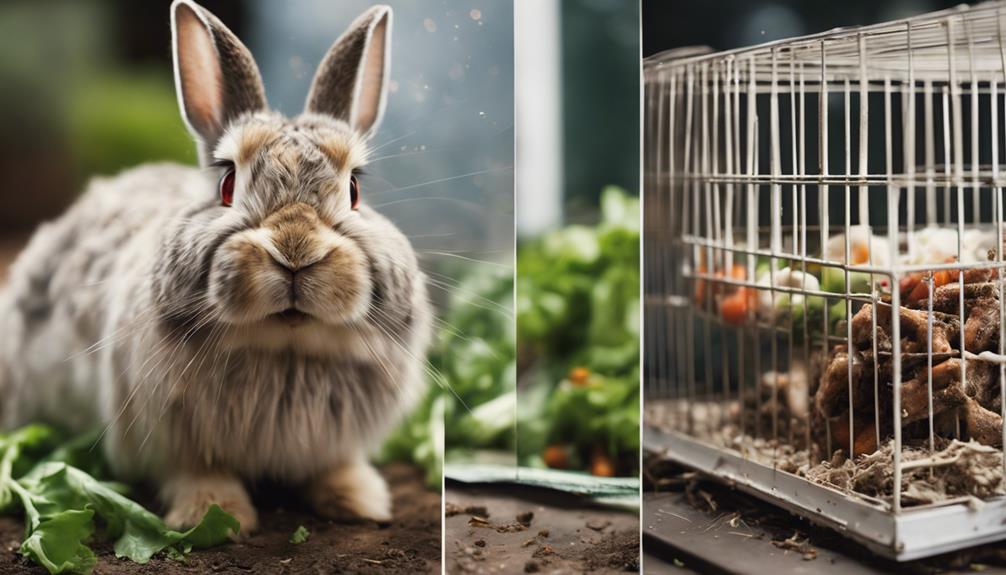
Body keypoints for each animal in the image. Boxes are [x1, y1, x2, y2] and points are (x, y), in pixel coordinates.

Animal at [0, 0, 432, 534]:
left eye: (355, 189)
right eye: (227, 184)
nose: (295, 250)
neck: (283, 351)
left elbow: (335, 465)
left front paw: (359, 501)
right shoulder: (171, 439)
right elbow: (199, 474)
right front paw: (216, 517)